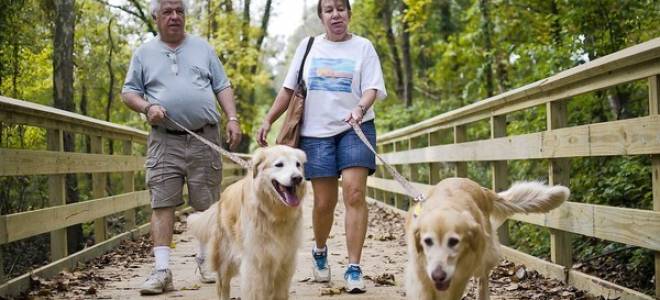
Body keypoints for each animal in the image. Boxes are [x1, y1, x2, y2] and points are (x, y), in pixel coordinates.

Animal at [187, 144, 308, 298]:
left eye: (298, 165)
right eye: (279, 164)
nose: (298, 178)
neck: (273, 213)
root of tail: (222, 196)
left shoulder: (285, 261)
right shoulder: (255, 262)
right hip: (225, 259)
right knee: (222, 286)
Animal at [404, 177, 568, 298]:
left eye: (453, 241)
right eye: (427, 241)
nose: (438, 276)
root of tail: (483, 191)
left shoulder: (460, 278)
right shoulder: (422, 276)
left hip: (485, 256)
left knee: (483, 278)